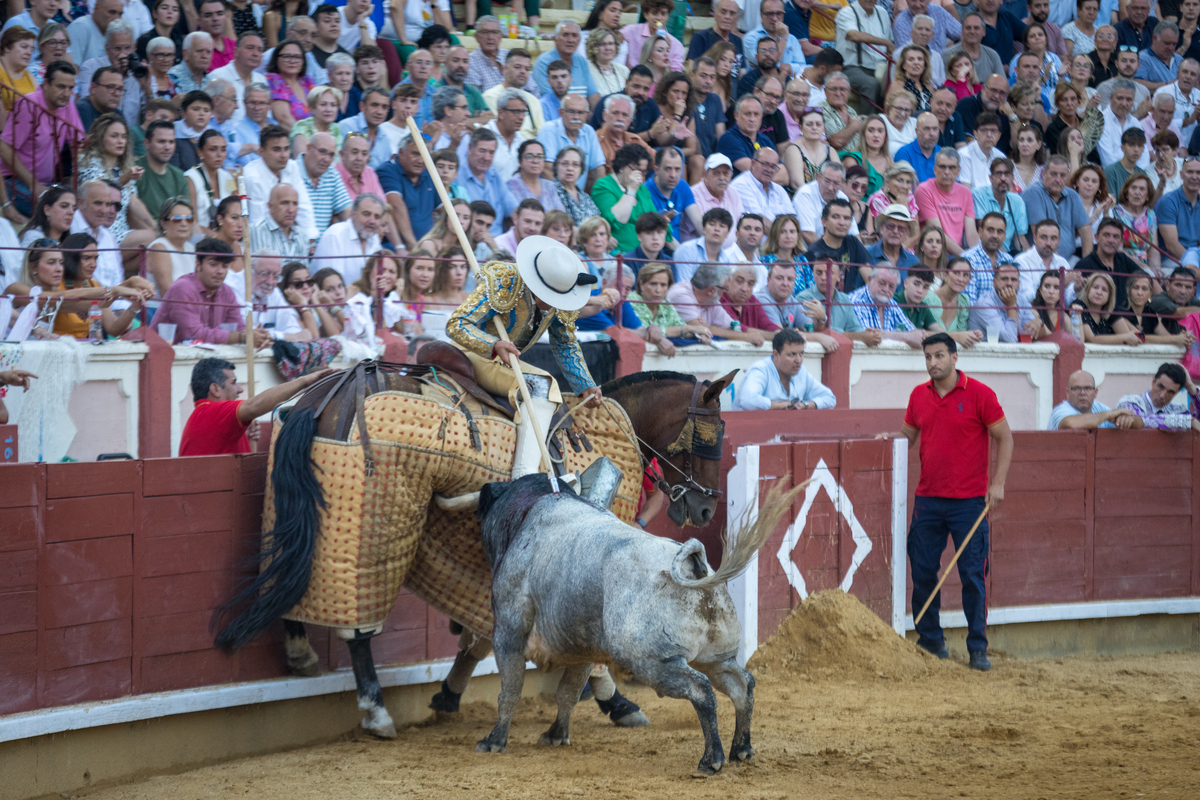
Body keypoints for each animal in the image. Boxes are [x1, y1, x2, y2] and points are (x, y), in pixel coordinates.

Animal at [220, 364, 734, 738]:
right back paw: (376, 709)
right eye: (711, 434)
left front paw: (449, 693)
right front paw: (619, 702)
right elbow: (585, 643)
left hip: (302, 507)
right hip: (371, 520)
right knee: (357, 626)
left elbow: (484, 636)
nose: (707, 508)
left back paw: (300, 653)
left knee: (290, 571)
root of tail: (335, 390)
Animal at [472, 472, 801, 772]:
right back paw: (741, 749)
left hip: (651, 661)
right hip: (716, 656)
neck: (530, 511)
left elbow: (511, 689)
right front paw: (556, 735)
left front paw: (494, 741)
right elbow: (568, 692)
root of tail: (694, 561)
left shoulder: (508, 631)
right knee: (741, 684)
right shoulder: (582, 647)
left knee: (701, 690)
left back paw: (712, 759)